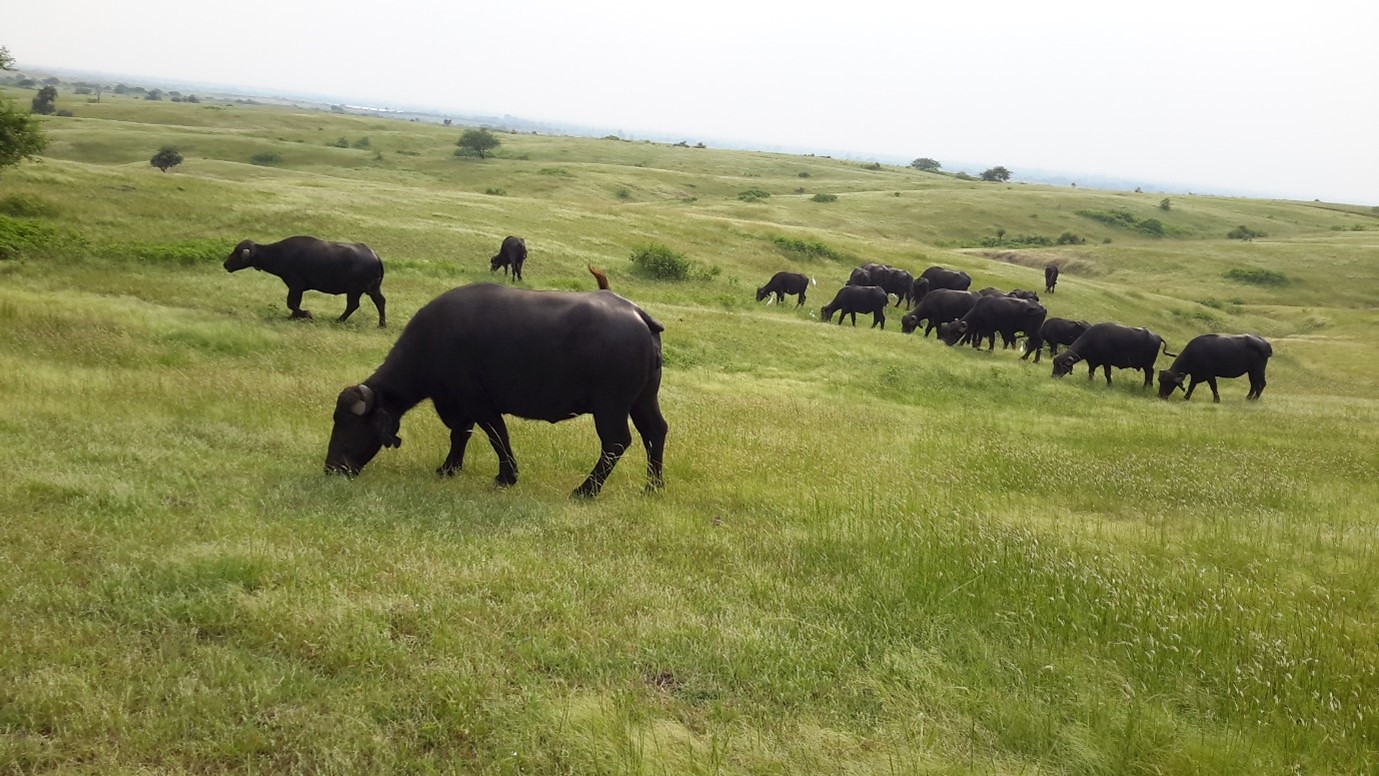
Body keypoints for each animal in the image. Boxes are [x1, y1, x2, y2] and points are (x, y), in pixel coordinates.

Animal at [224, 234, 388, 325]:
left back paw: (339, 320)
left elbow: (291, 303)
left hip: (355, 290)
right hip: (371, 289)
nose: (225, 264)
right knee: (379, 302)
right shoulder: (298, 288)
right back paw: (381, 325)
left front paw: (307, 315)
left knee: (353, 305)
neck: (279, 253)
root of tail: (375, 256)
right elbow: (295, 303)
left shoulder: (295, 285)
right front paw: (293, 317)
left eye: (237, 252)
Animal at [324, 267, 667, 498]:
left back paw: (585, 490)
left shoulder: (478, 403)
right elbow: (460, 435)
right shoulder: (458, 405)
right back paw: (653, 486)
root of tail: (637, 313)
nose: (332, 468)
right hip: (643, 399)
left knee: (616, 442)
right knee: (655, 432)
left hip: (610, 405)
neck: (434, 340)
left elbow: (496, 436)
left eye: (350, 424)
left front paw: (506, 476)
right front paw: (449, 468)